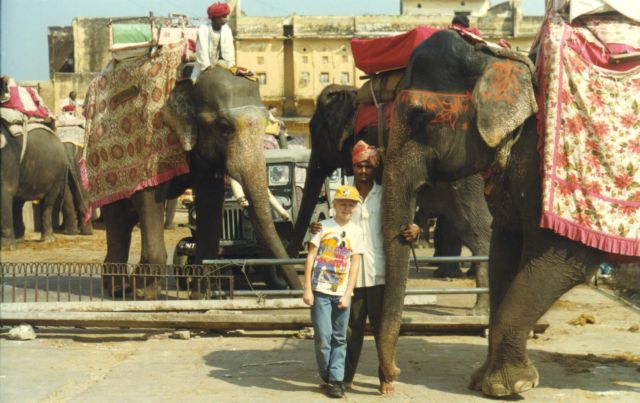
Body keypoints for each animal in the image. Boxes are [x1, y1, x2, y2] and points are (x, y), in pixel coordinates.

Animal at [96, 66, 301, 298]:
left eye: (265, 123)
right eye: (224, 126)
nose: (298, 293)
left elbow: (211, 202)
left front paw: (201, 296)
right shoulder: (150, 147)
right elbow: (149, 198)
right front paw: (142, 294)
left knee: (125, 219)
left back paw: (120, 287)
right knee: (118, 218)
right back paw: (119, 289)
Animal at [377, 29, 635, 396]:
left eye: (418, 114)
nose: (392, 377)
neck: (504, 58)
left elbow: (559, 260)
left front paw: (508, 387)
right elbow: (503, 249)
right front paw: (482, 380)